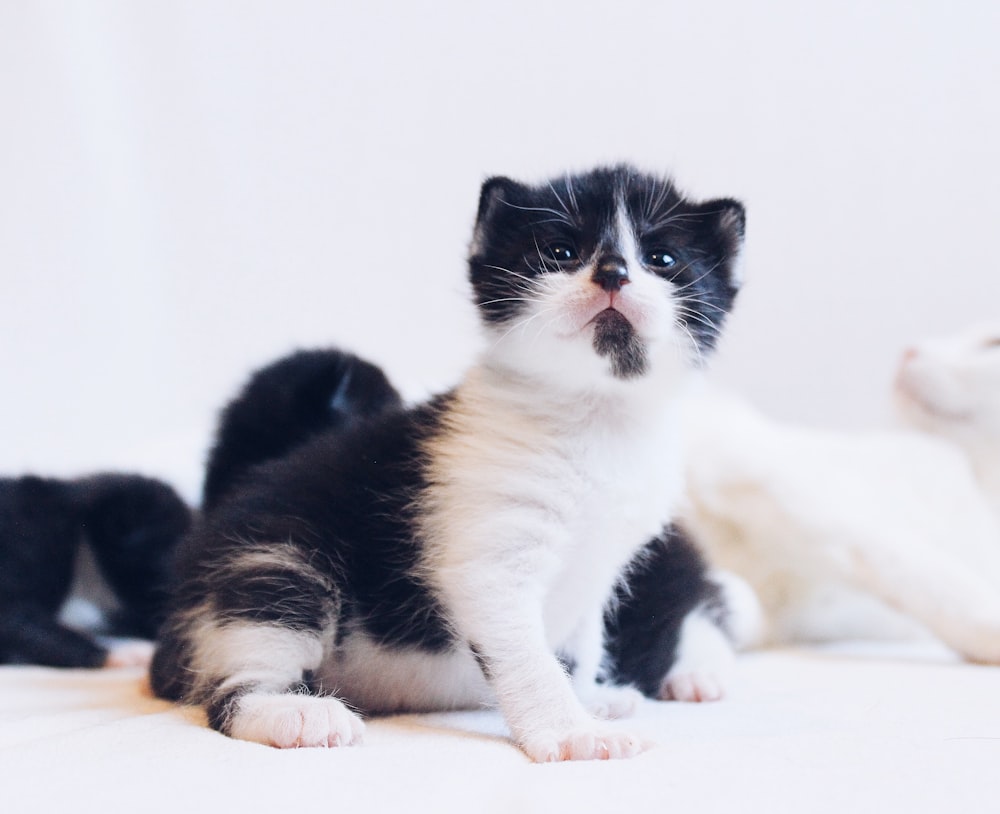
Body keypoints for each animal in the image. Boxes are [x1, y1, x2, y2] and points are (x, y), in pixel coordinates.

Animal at [146, 166, 744, 764]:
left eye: (662, 258)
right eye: (561, 251)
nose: (614, 272)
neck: (595, 417)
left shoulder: (602, 566)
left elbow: (581, 645)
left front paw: (591, 698)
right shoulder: (490, 565)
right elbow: (530, 659)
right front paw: (572, 731)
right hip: (275, 562)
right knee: (232, 683)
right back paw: (293, 712)